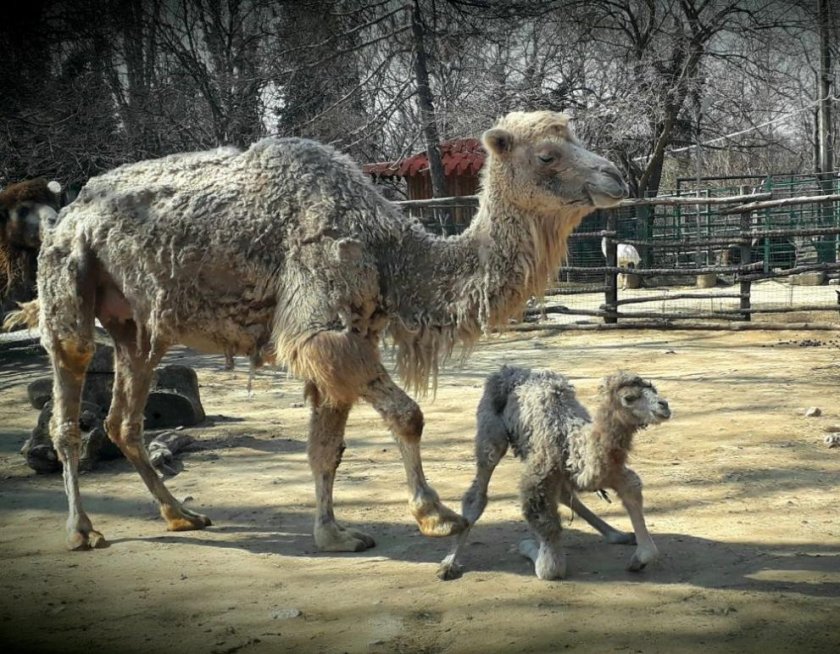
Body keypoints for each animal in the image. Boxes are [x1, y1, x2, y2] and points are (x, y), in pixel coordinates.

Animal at [440, 366, 668, 580]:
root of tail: (507, 369)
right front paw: (528, 545)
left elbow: (632, 490)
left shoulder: (611, 472)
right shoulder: (538, 479)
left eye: (654, 389)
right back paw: (448, 564)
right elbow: (550, 567)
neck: (572, 445)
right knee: (478, 490)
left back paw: (618, 534)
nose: (664, 405)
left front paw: (639, 556)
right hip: (490, 431)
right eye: (629, 398)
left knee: (565, 495)